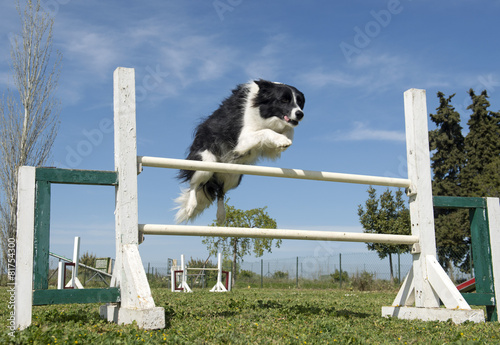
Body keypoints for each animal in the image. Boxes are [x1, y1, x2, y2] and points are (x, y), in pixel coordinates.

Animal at [176, 78, 304, 223]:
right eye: (284, 100)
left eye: (300, 102)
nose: (300, 114)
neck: (262, 110)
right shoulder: (243, 139)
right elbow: (266, 131)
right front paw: (282, 139)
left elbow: (289, 131)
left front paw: (284, 138)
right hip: (206, 164)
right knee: (194, 184)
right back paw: (191, 206)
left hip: (233, 176)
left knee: (221, 191)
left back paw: (221, 215)